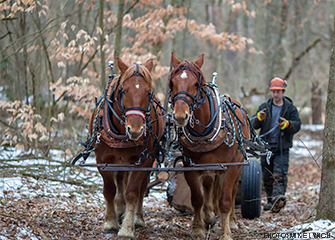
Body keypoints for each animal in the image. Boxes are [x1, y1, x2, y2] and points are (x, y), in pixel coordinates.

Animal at [88, 57, 164, 238]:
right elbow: (109, 190)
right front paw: (110, 222)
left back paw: (137, 218)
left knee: (141, 188)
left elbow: (133, 192)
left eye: (148, 92)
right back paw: (119, 210)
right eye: (123, 90)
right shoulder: (103, 160)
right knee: (120, 181)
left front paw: (128, 228)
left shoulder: (143, 161)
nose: (135, 130)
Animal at [169, 52, 251, 240]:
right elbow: (197, 198)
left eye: (196, 84)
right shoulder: (191, 167)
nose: (180, 116)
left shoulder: (230, 168)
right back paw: (209, 215)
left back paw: (232, 221)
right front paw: (198, 227)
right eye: (172, 83)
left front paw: (226, 232)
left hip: (238, 166)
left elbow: (226, 200)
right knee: (208, 185)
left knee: (233, 191)